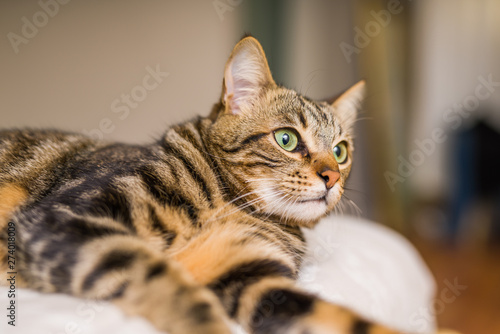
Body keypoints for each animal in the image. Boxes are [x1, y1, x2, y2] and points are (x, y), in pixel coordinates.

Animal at [0, 37, 402, 334]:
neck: (226, 201)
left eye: (340, 151)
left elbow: (344, 320)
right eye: (286, 139)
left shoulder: (255, 279)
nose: (331, 177)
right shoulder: (64, 216)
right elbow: (159, 277)